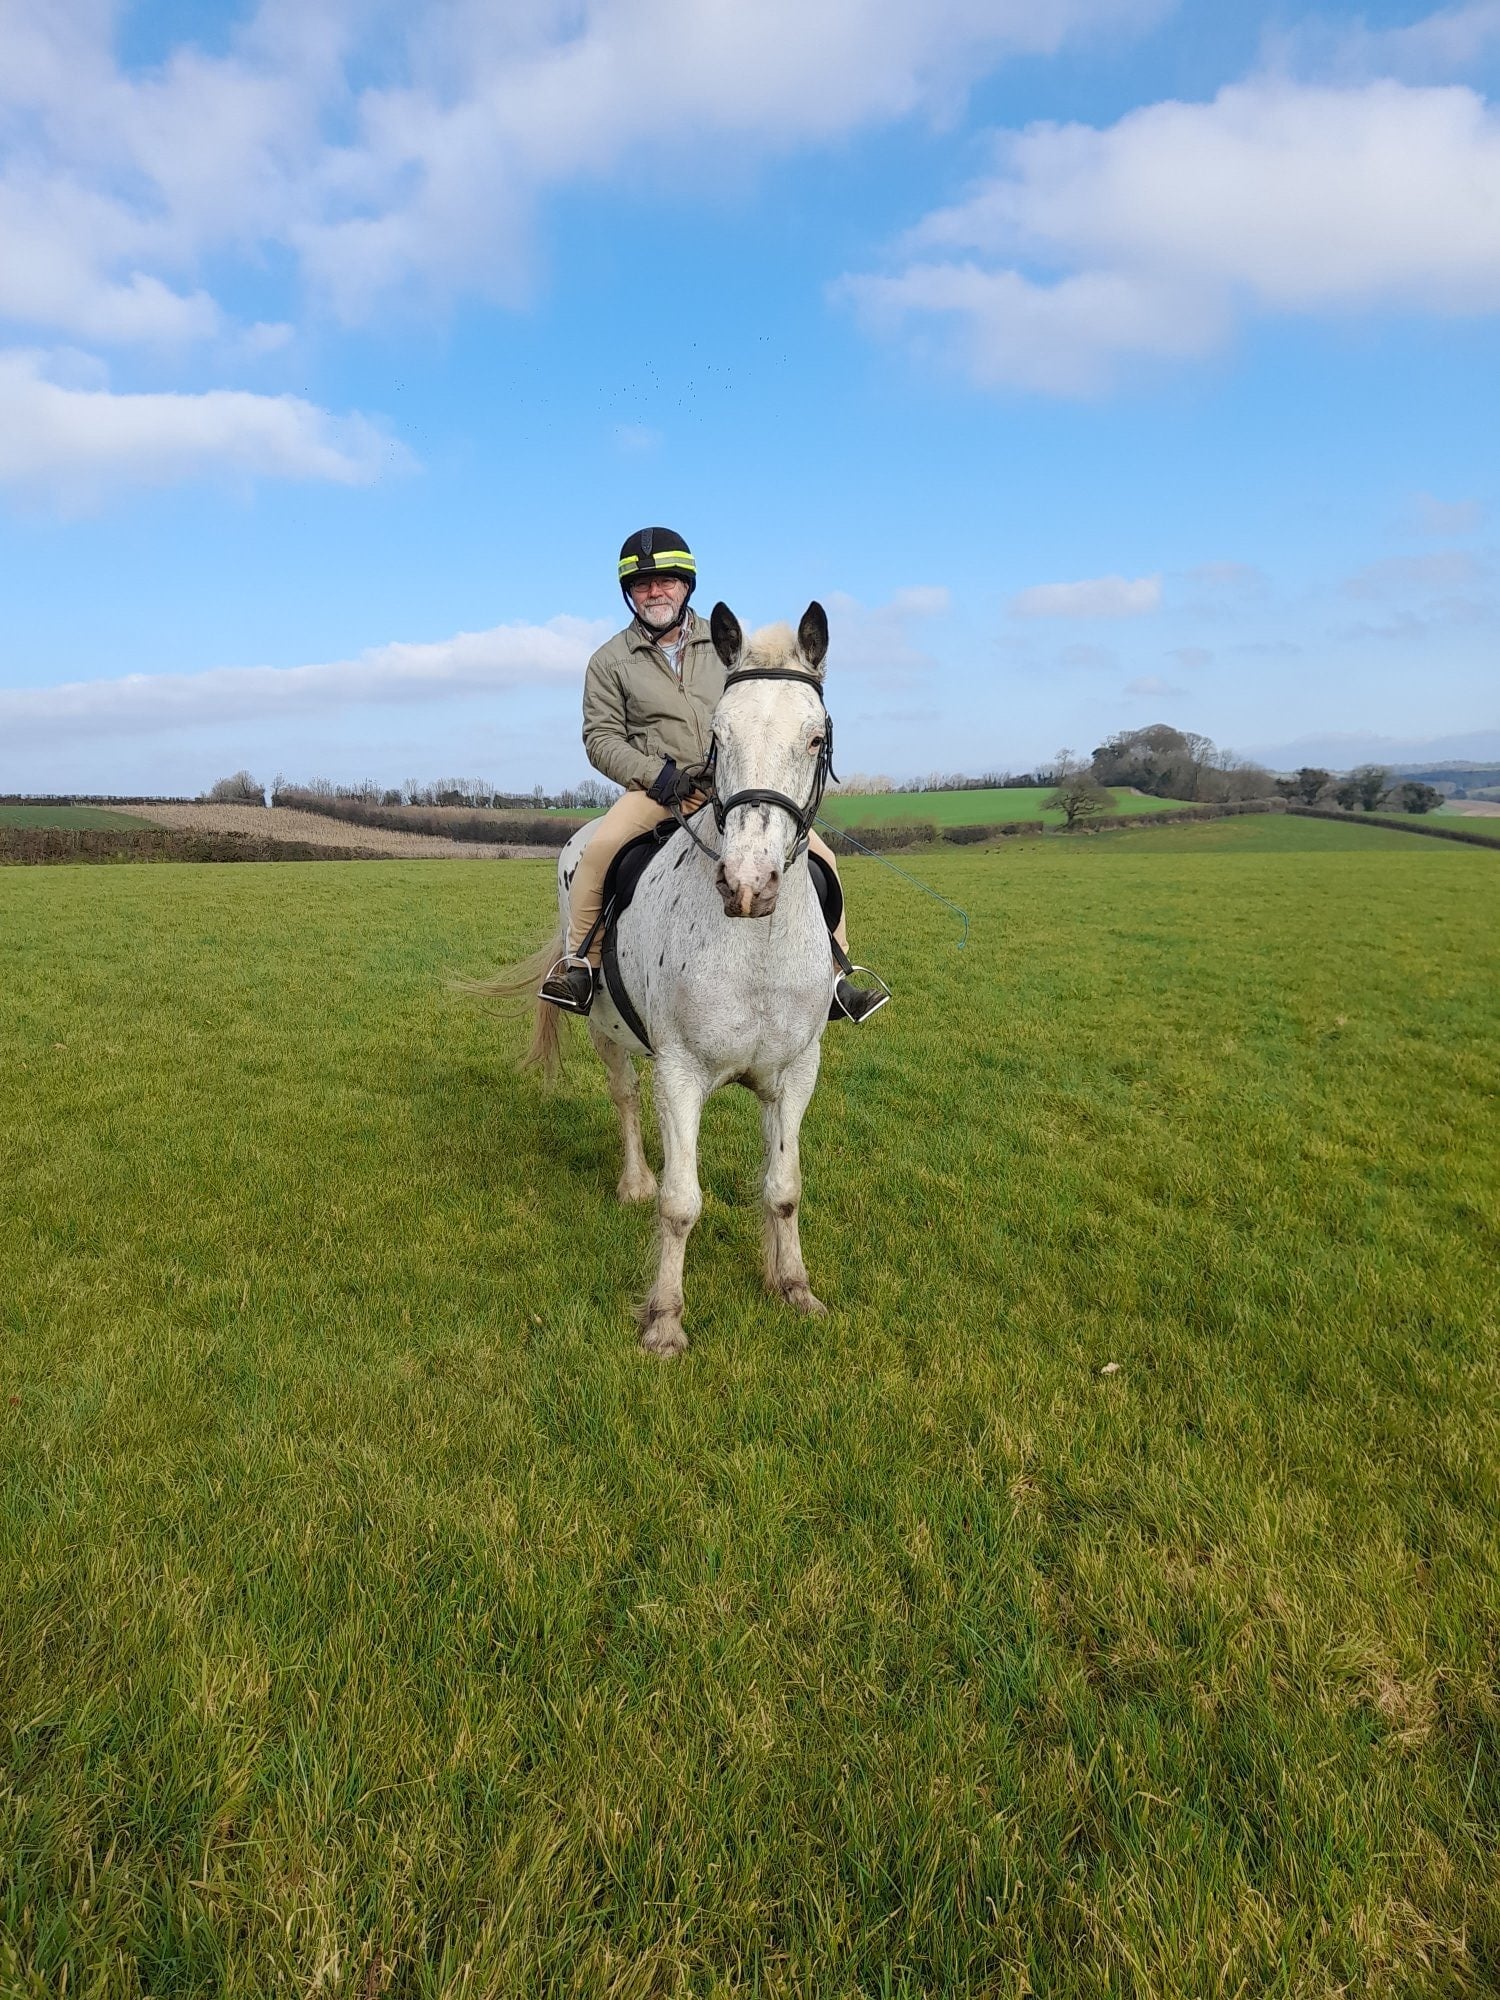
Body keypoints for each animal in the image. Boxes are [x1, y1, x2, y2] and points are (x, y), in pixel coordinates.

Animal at [482, 601, 838, 1357]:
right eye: (719, 737)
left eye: (815, 737)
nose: (748, 883)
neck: (755, 943)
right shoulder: (680, 1072)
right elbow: (681, 1204)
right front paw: (665, 1321)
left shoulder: (796, 1073)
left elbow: (783, 1187)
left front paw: (794, 1287)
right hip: (607, 1033)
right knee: (625, 1100)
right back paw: (634, 1183)